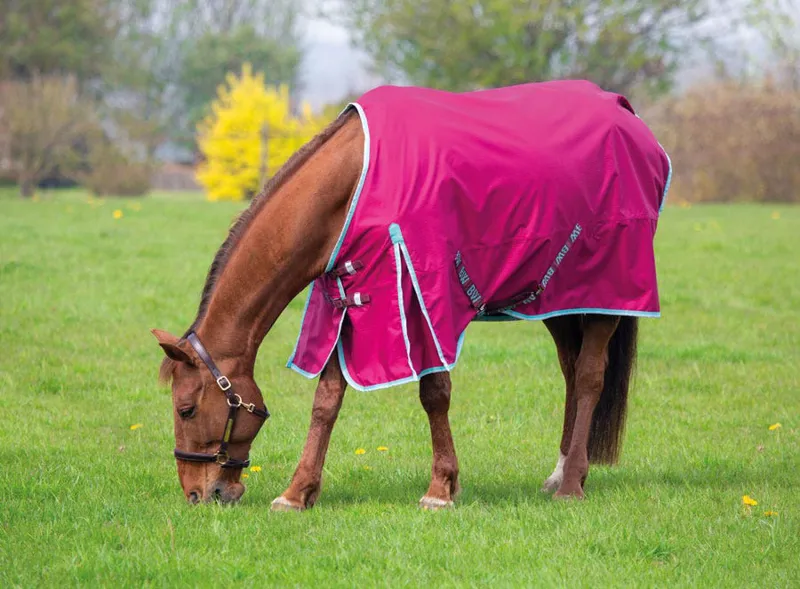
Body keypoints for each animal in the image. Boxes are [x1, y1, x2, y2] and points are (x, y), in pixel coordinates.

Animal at [153, 80, 671, 509]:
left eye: (186, 408)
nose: (200, 494)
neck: (355, 182)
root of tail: (626, 114)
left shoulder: (421, 299)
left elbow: (434, 393)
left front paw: (441, 488)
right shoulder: (348, 300)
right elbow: (327, 399)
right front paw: (297, 493)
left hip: (607, 291)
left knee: (589, 376)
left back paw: (571, 485)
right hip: (559, 297)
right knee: (570, 370)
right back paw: (561, 472)